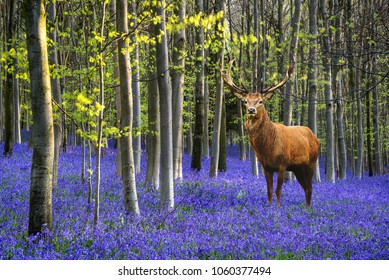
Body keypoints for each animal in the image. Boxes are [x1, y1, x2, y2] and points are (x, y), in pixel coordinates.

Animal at [221, 60, 318, 207]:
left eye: (261, 101)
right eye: (245, 101)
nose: (251, 110)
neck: (268, 148)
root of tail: (314, 136)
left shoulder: (283, 164)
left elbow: (278, 191)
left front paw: (277, 208)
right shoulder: (266, 166)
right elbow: (269, 191)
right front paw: (269, 206)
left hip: (311, 162)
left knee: (310, 188)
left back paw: (308, 208)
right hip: (298, 168)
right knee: (306, 188)